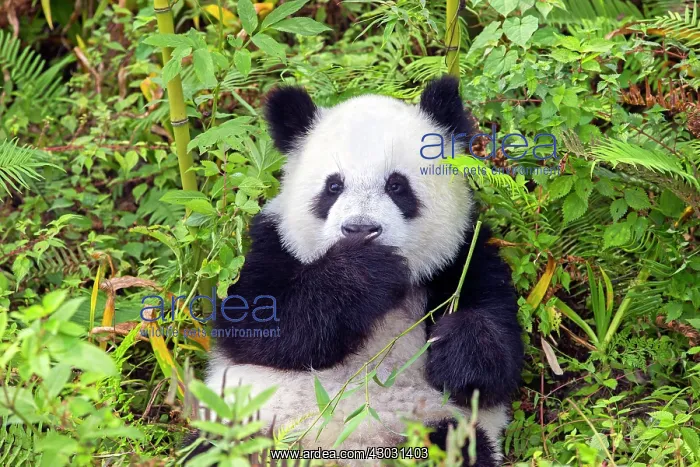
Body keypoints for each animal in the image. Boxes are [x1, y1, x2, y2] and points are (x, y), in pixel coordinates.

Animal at [202, 76, 524, 466]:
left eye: (397, 185)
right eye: (333, 186)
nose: (360, 229)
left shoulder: (463, 255)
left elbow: (498, 357)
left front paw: (457, 350)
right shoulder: (274, 244)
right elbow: (260, 324)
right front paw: (362, 270)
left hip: (432, 424)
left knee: (458, 446)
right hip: (250, 425)